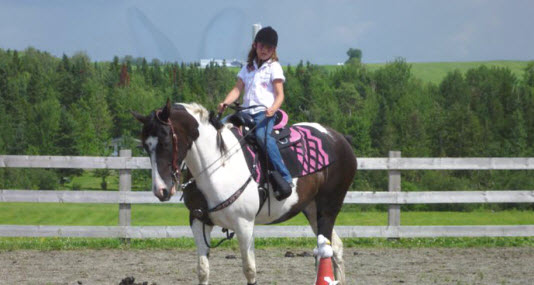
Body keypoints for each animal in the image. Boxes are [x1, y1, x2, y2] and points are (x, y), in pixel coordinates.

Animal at [133, 99, 360, 282]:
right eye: (145, 145)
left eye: (165, 141)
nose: (161, 190)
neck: (219, 165)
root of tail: (340, 138)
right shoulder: (198, 221)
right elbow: (203, 269)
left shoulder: (244, 225)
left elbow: (249, 270)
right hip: (311, 210)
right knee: (335, 247)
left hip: (328, 209)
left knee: (326, 249)